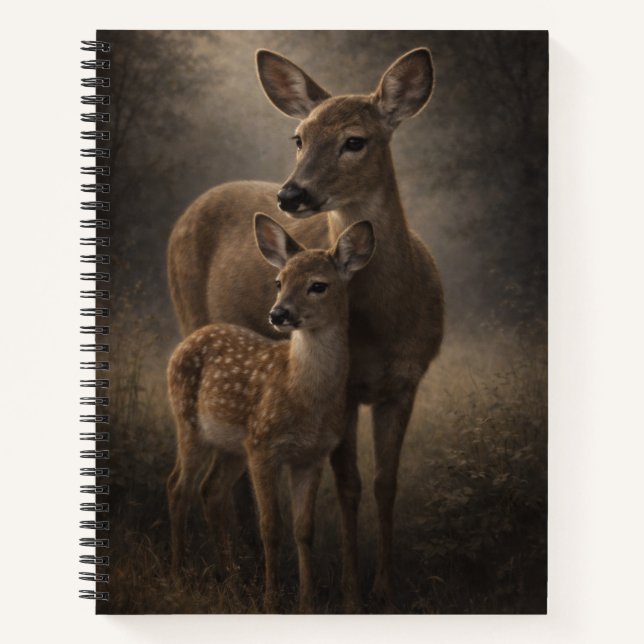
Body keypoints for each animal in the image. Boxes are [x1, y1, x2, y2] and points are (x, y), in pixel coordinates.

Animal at [167, 214, 376, 613]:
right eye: (279, 282)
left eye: (318, 285)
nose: (278, 313)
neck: (304, 396)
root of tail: (185, 342)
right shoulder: (263, 445)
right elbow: (271, 527)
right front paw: (270, 601)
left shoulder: (310, 456)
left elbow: (304, 529)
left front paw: (307, 602)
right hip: (188, 422)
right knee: (178, 487)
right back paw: (181, 576)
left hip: (232, 446)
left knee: (209, 489)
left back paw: (231, 581)